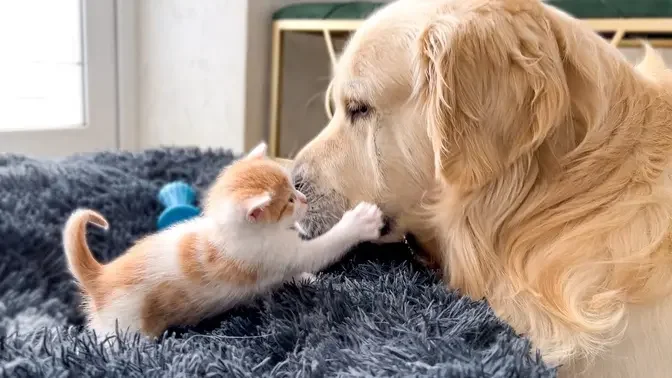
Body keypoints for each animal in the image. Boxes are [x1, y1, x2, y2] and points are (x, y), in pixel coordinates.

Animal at [62, 143, 384, 338]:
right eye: (290, 201)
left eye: (294, 188)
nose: (304, 199)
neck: (226, 232)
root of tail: (100, 277)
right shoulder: (272, 255)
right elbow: (323, 248)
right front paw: (361, 221)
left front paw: (307, 279)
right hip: (126, 327)